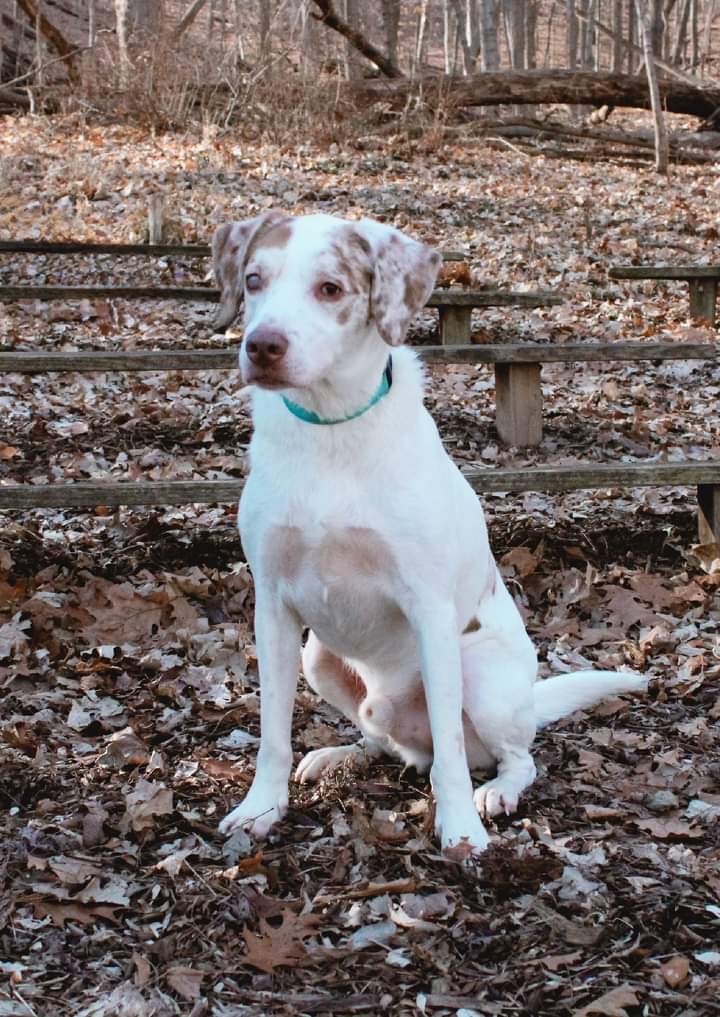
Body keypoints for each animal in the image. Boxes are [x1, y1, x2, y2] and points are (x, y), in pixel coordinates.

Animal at [210, 214, 642, 858]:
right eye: (254, 279)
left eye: (330, 289)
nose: (262, 346)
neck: (330, 429)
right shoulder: (274, 609)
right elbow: (272, 735)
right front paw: (260, 808)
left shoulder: (430, 611)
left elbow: (454, 760)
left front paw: (460, 829)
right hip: (319, 658)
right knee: (383, 740)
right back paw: (342, 755)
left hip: (481, 678)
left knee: (509, 758)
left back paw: (498, 791)